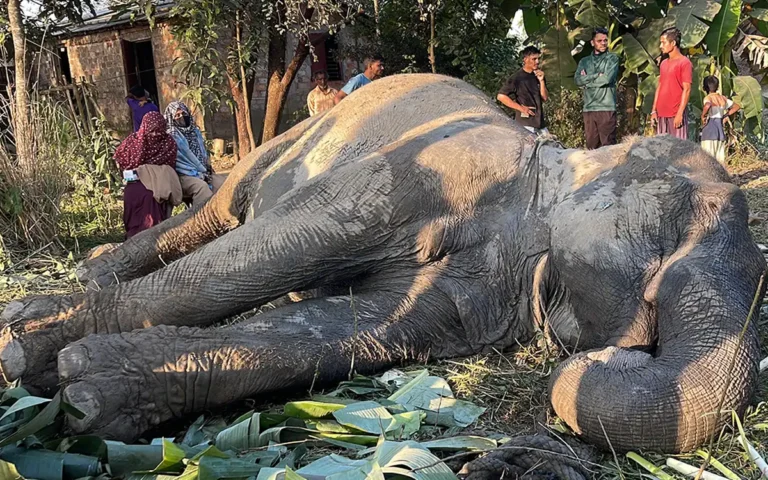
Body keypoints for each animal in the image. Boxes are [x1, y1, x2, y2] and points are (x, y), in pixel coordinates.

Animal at [0, 74, 764, 454]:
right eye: (672, 244)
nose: (607, 358)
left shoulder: (482, 295)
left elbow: (358, 329)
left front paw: (89, 390)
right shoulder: (434, 166)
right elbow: (291, 242)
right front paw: (27, 345)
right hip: (297, 133)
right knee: (223, 207)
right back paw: (88, 275)